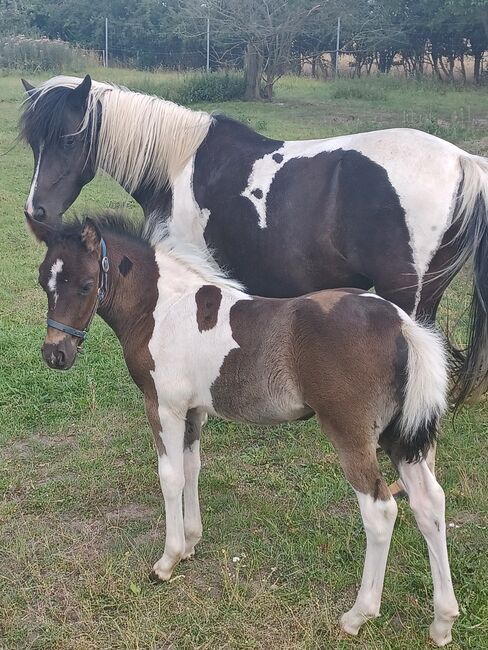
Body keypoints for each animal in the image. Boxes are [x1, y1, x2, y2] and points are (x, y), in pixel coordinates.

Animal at [29, 214, 458, 644]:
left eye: (85, 284)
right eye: (43, 281)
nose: (55, 354)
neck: (162, 309)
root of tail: (402, 324)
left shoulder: (163, 406)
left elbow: (170, 476)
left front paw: (167, 561)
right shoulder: (193, 411)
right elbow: (192, 468)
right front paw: (190, 542)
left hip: (352, 435)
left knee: (381, 511)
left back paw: (357, 616)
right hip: (398, 436)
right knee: (428, 502)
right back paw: (442, 622)